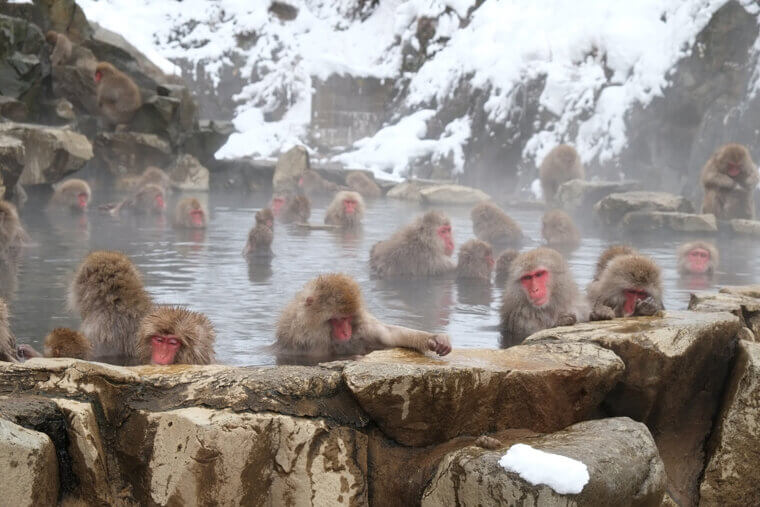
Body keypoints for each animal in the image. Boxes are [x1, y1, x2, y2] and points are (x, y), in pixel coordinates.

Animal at [275, 273, 451, 360]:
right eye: (338, 319)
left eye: (348, 318)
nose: (346, 332)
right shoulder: (303, 340)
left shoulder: (364, 327)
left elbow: (389, 334)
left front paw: (436, 339)